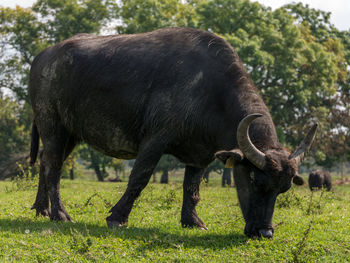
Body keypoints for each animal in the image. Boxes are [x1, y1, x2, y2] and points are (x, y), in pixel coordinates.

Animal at [28, 27, 316, 239]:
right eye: (256, 181)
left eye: (283, 189)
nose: (265, 232)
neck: (210, 91)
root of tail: (43, 56)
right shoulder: (155, 139)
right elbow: (139, 178)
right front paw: (117, 218)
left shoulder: (201, 155)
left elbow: (192, 188)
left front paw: (193, 221)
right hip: (52, 124)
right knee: (54, 166)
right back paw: (59, 214)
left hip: (71, 133)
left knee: (45, 161)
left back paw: (41, 208)